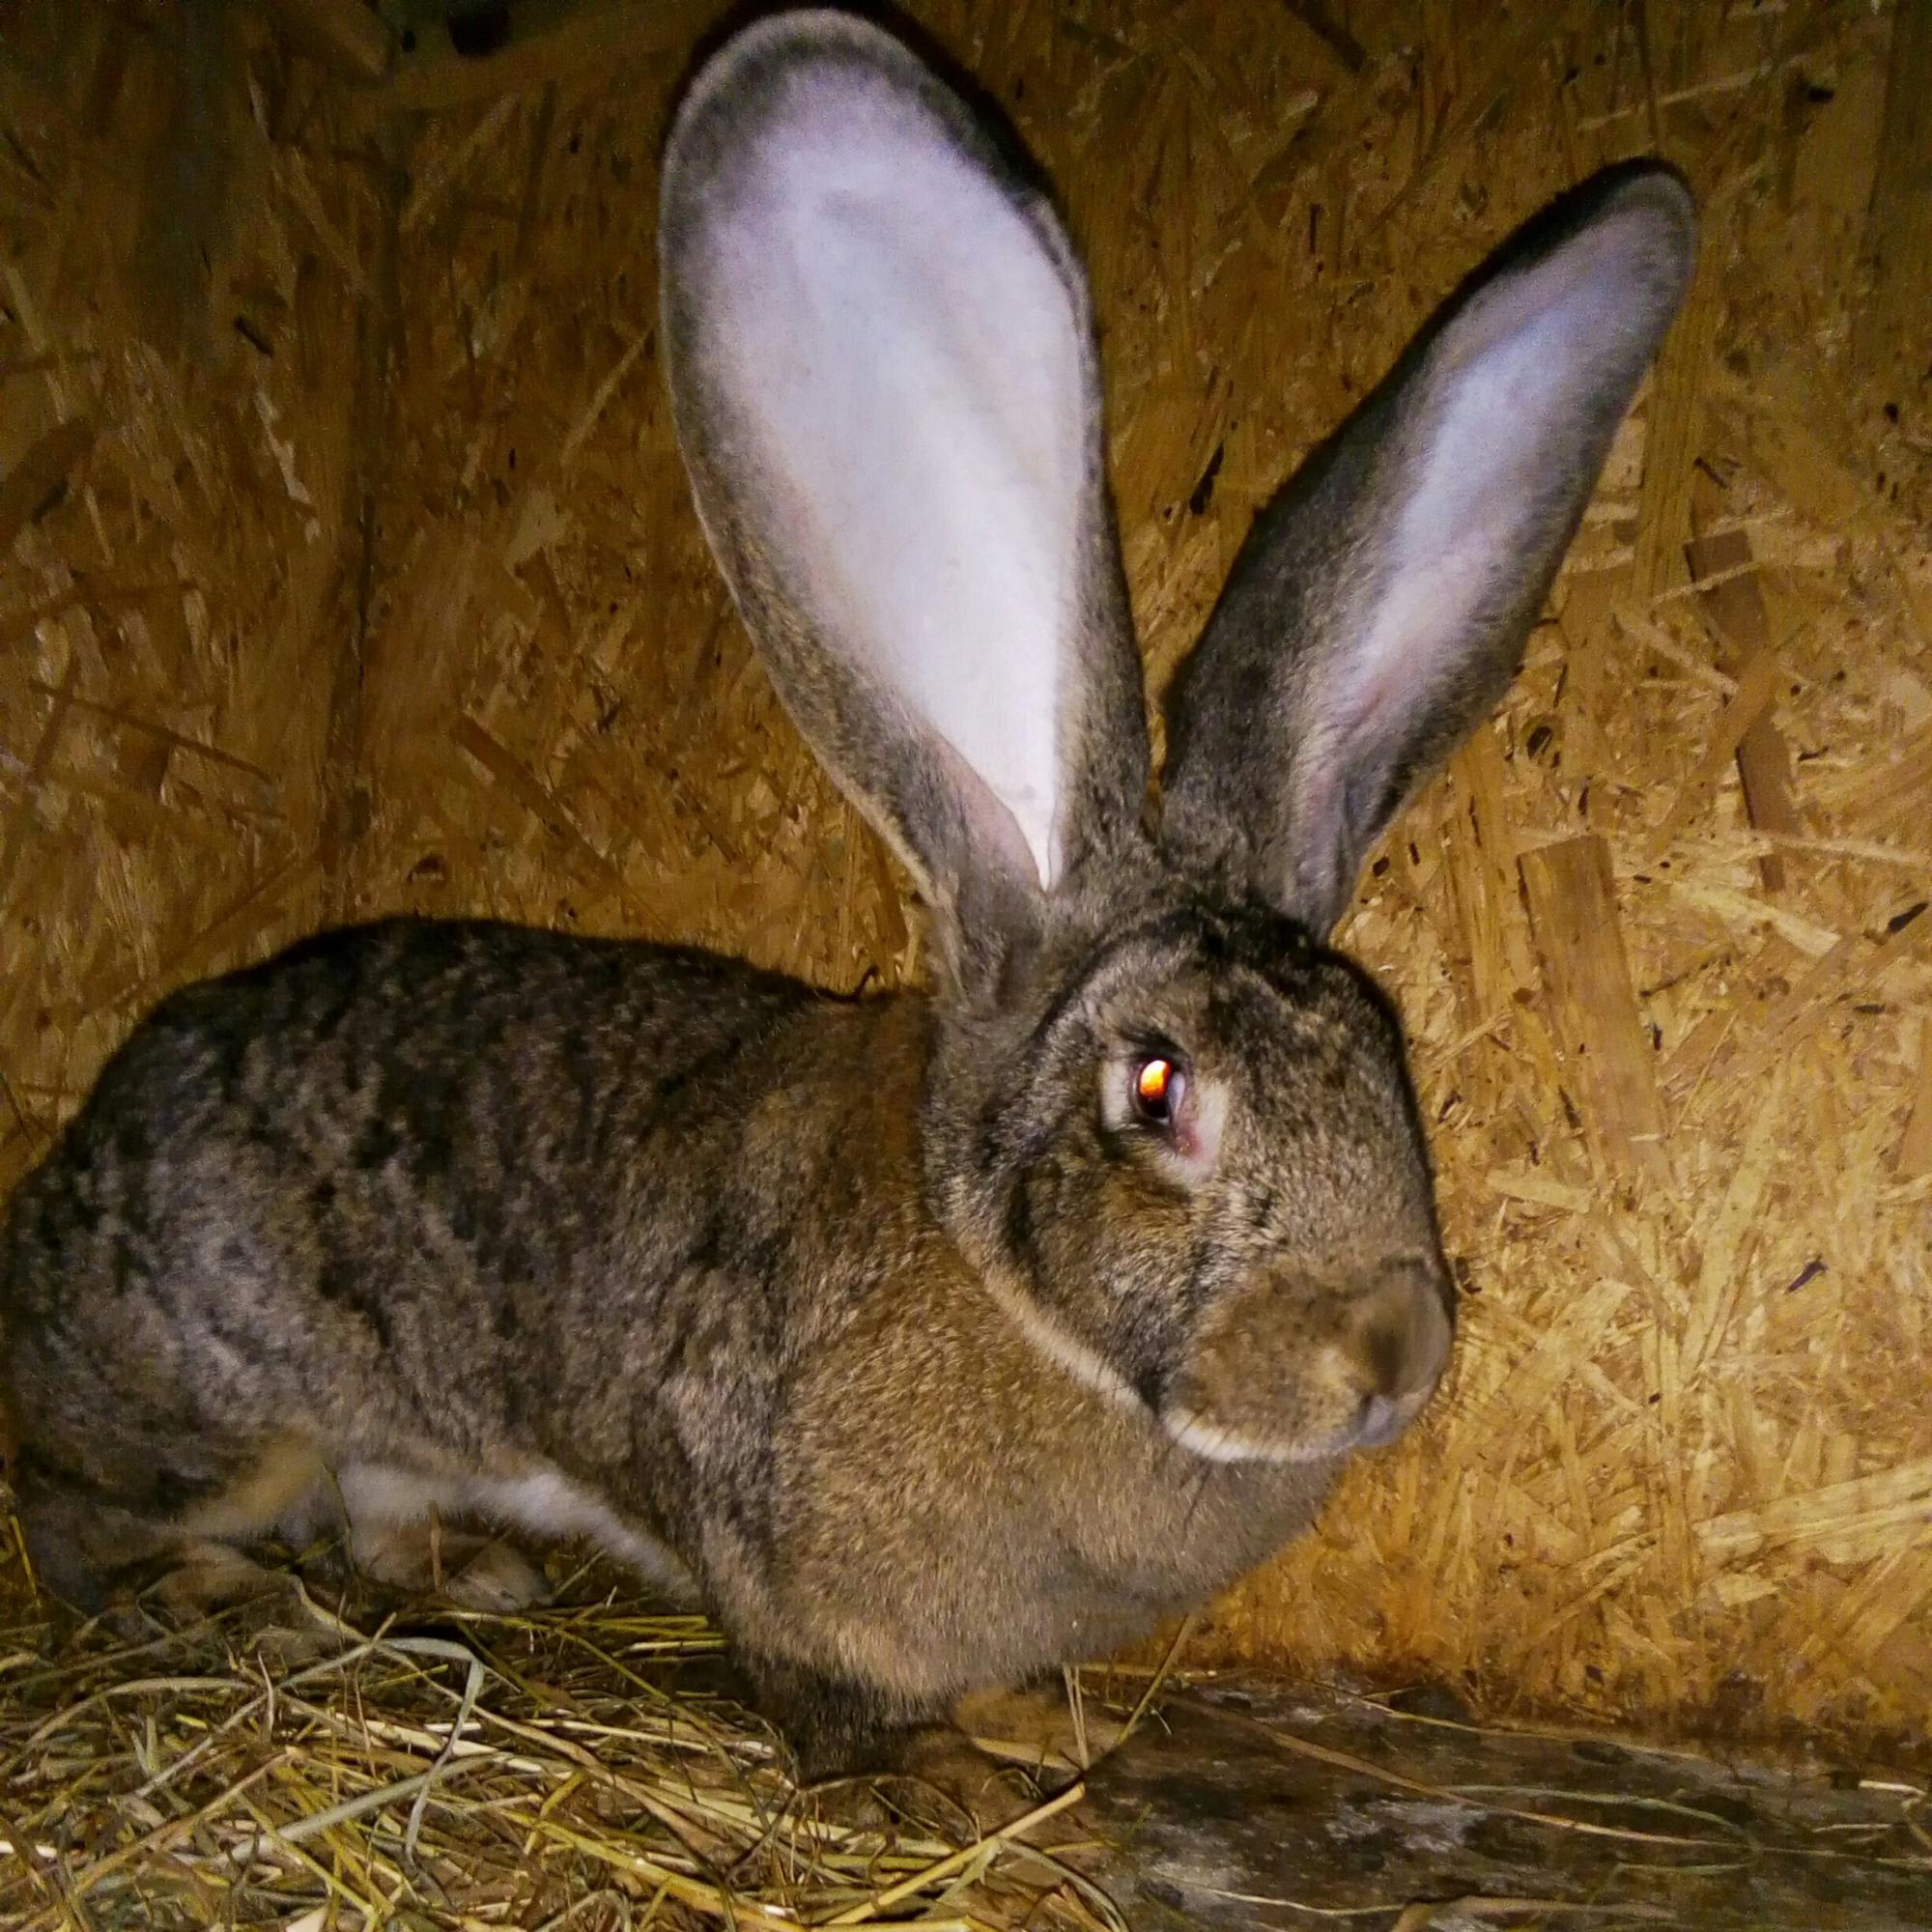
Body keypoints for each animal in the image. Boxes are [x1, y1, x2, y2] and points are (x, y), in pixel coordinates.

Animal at [0, 10, 1694, 1775]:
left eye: (1388, 1057)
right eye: (1158, 1087)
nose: (1390, 1352)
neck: (1014, 1303)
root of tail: (67, 1165)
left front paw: (1038, 1729)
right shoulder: (748, 1508)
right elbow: (810, 1674)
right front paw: (926, 1771)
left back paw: (472, 1570)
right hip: (218, 1402)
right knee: (84, 1519)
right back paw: (231, 1606)